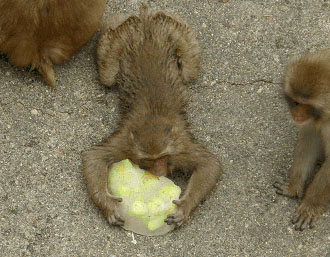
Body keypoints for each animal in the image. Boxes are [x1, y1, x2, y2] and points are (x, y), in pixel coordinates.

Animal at [82, 4, 224, 226]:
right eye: (148, 159)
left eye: (163, 157)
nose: (158, 173)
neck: (152, 119)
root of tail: (146, 22)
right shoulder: (126, 145)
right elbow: (94, 157)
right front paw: (110, 206)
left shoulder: (180, 148)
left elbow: (210, 164)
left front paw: (184, 208)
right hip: (120, 38)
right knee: (108, 75)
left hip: (174, 31)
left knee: (189, 70)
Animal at [274, 48, 330, 230]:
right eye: (296, 102)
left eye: (307, 105)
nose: (297, 115)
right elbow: (309, 139)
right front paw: (293, 187)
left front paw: (310, 205)